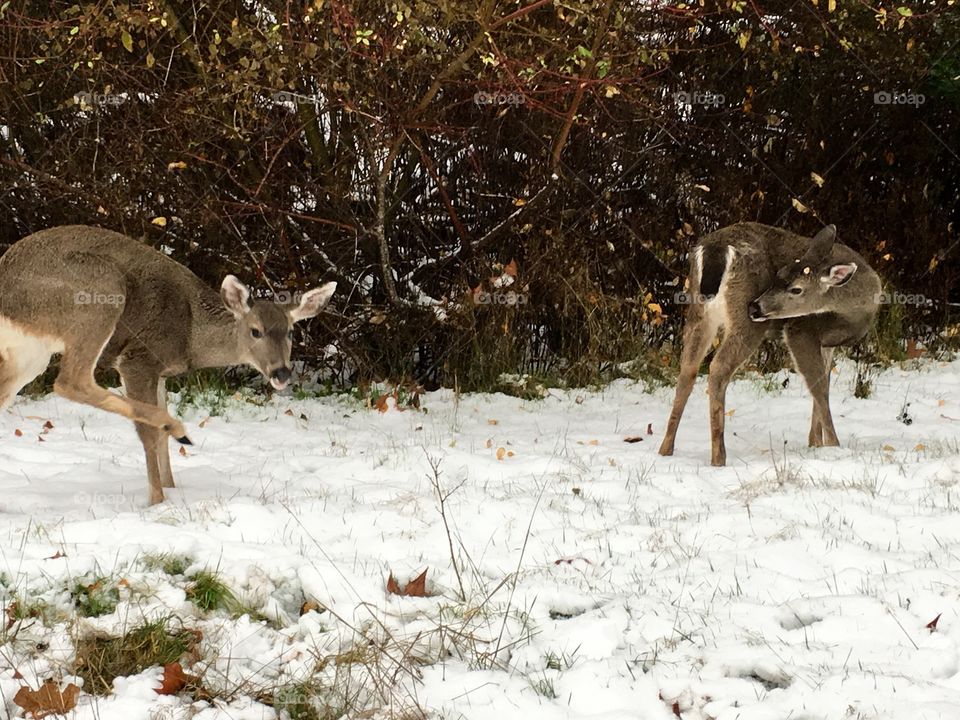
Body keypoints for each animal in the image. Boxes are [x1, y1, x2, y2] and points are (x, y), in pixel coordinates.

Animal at [0, 228, 338, 504]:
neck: (190, 335)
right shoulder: (139, 359)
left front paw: (171, 487)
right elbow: (148, 433)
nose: (281, 373)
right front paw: (158, 500)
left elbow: (158, 433)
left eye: (291, 331)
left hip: (30, 353)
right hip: (99, 293)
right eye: (255, 331)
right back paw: (177, 429)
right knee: (71, 381)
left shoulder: (161, 372)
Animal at [660, 221, 876, 466]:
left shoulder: (827, 345)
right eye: (778, 276)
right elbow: (819, 388)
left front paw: (815, 443)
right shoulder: (801, 330)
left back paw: (665, 449)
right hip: (746, 320)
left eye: (794, 287)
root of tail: (716, 249)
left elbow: (824, 385)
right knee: (718, 369)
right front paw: (833, 446)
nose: (756, 306)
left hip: (698, 311)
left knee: (688, 370)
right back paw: (718, 457)